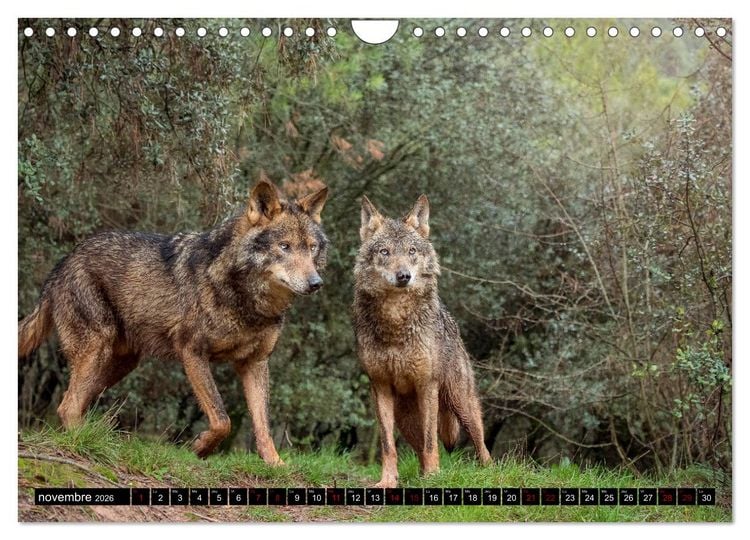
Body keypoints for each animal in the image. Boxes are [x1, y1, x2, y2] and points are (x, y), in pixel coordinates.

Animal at [18, 181, 328, 464]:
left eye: (311, 248)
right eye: (284, 247)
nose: (316, 283)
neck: (249, 301)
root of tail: (63, 262)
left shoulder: (255, 363)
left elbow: (263, 426)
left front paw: (276, 465)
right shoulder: (192, 352)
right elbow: (222, 420)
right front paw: (201, 448)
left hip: (120, 364)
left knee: (72, 402)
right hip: (96, 351)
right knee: (67, 406)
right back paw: (86, 446)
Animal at [353, 194, 492, 487]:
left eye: (412, 251)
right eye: (385, 252)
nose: (404, 276)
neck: (395, 324)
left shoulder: (426, 385)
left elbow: (431, 443)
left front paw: (433, 478)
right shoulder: (379, 387)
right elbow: (388, 446)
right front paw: (388, 482)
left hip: (461, 402)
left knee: (481, 444)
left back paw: (488, 472)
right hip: (405, 420)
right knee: (415, 449)